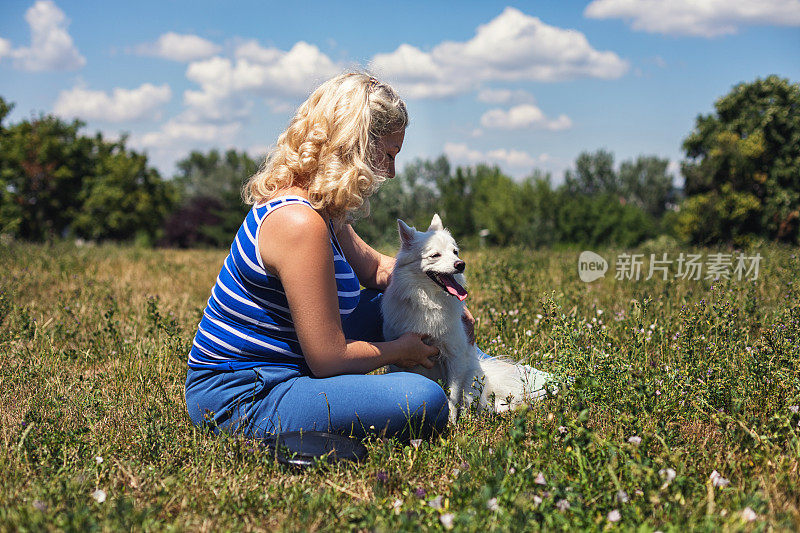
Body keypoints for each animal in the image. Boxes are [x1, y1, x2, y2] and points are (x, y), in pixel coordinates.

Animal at [382, 213, 552, 420]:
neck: (429, 300)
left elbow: (452, 396)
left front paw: (451, 422)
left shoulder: (454, 357)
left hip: (472, 379)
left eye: (455, 252)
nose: (461, 264)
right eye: (435, 255)